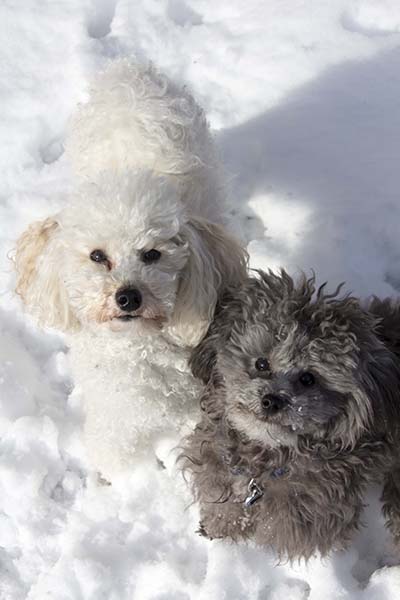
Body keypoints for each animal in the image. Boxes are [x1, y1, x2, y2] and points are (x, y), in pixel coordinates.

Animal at [14, 61, 247, 480]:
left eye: (152, 254)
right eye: (97, 256)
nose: (127, 297)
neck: (141, 345)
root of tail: (130, 72)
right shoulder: (116, 412)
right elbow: (117, 450)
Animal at [183, 270, 400, 560]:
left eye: (308, 378)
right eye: (261, 363)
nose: (272, 401)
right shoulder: (220, 470)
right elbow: (226, 507)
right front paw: (219, 528)